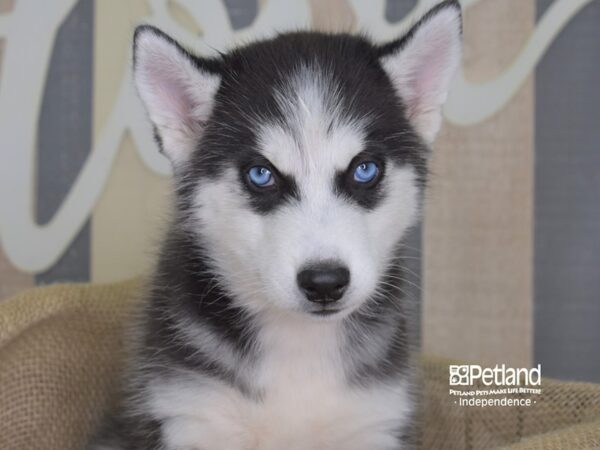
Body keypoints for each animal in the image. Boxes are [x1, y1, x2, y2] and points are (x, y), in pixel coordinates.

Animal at [90, 1, 464, 448]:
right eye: (261, 174)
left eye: (365, 169)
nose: (325, 282)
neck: (299, 346)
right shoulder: (190, 410)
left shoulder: (374, 419)